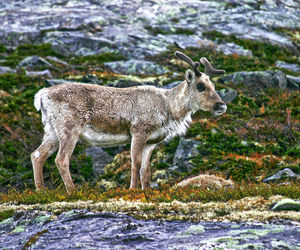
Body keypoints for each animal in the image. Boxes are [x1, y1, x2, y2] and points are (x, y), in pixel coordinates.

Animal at [31, 51, 226, 193]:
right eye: (200, 86)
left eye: (214, 86)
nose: (221, 105)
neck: (169, 108)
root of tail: (41, 95)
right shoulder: (139, 131)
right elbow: (136, 163)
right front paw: (133, 189)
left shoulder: (151, 142)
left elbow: (146, 168)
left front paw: (147, 191)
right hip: (69, 128)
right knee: (61, 159)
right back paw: (73, 191)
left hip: (51, 131)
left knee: (37, 155)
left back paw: (41, 192)